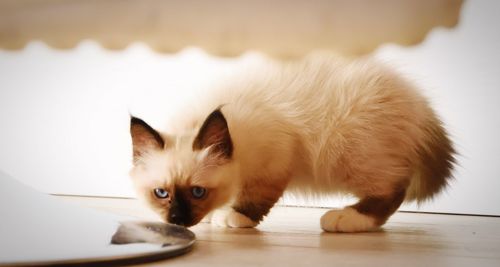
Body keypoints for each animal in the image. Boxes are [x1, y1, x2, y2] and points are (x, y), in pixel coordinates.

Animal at [128, 55, 454, 233]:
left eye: (197, 192)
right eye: (161, 193)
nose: (177, 219)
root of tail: (420, 105)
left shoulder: (275, 159)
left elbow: (255, 198)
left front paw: (232, 217)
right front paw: (213, 217)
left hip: (347, 151)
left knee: (393, 190)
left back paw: (345, 218)